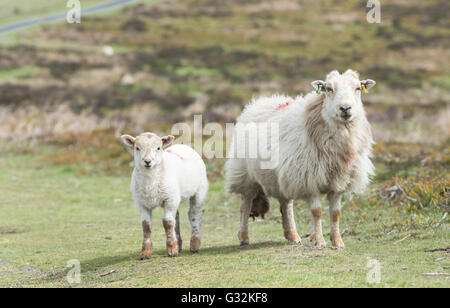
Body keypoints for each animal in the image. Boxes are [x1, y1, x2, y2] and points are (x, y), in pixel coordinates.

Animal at [225, 69, 376, 248]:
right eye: (328, 89)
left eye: (357, 88)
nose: (345, 108)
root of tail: (262, 100)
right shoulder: (309, 179)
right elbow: (317, 212)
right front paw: (319, 240)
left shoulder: (339, 181)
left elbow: (335, 213)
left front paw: (337, 241)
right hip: (246, 175)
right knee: (246, 205)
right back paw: (244, 237)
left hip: (282, 176)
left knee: (286, 204)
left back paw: (292, 235)